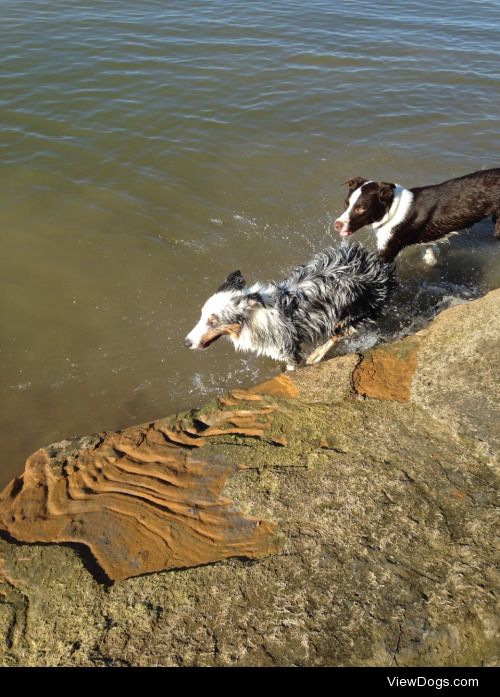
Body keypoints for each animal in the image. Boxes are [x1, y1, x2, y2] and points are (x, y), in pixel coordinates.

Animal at [334, 168, 500, 264]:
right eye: (346, 204)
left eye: (361, 208)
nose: (337, 224)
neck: (392, 209)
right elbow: (430, 256)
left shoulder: (386, 252)